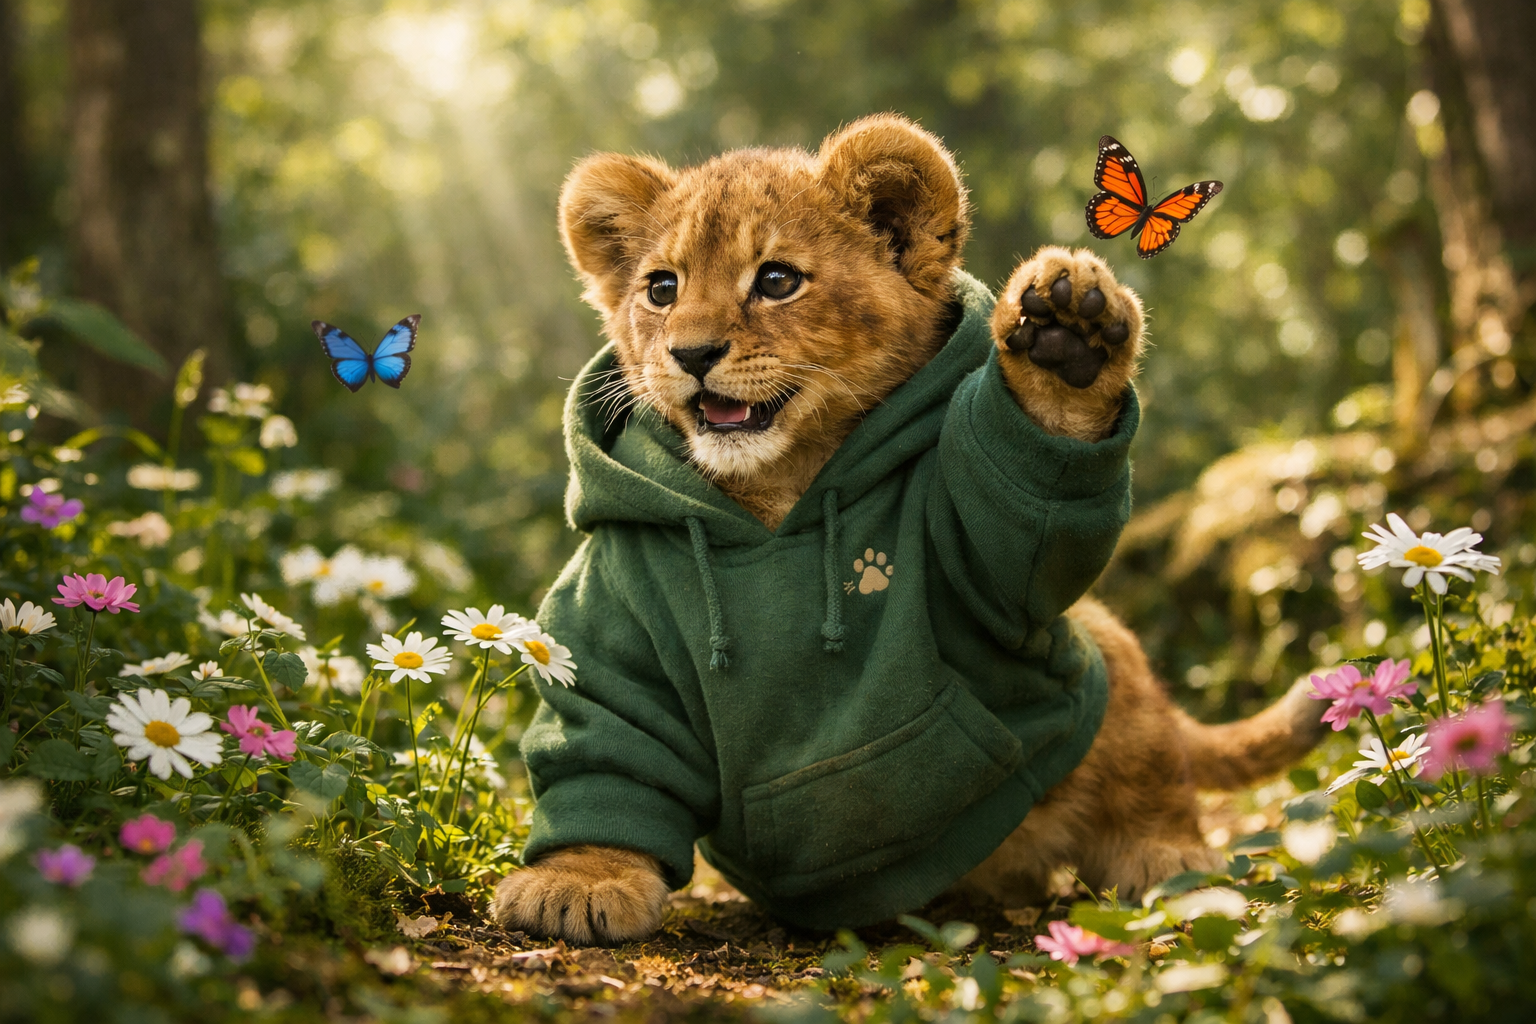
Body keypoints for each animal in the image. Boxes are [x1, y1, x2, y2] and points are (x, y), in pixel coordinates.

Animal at [488, 114, 1322, 944]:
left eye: (777, 280)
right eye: (662, 289)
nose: (689, 354)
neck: (776, 494)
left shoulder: (976, 552)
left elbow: (1028, 524)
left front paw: (1067, 338)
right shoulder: (609, 618)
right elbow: (608, 746)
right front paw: (576, 882)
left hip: (1104, 664)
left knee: (1155, 772)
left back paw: (1171, 864)